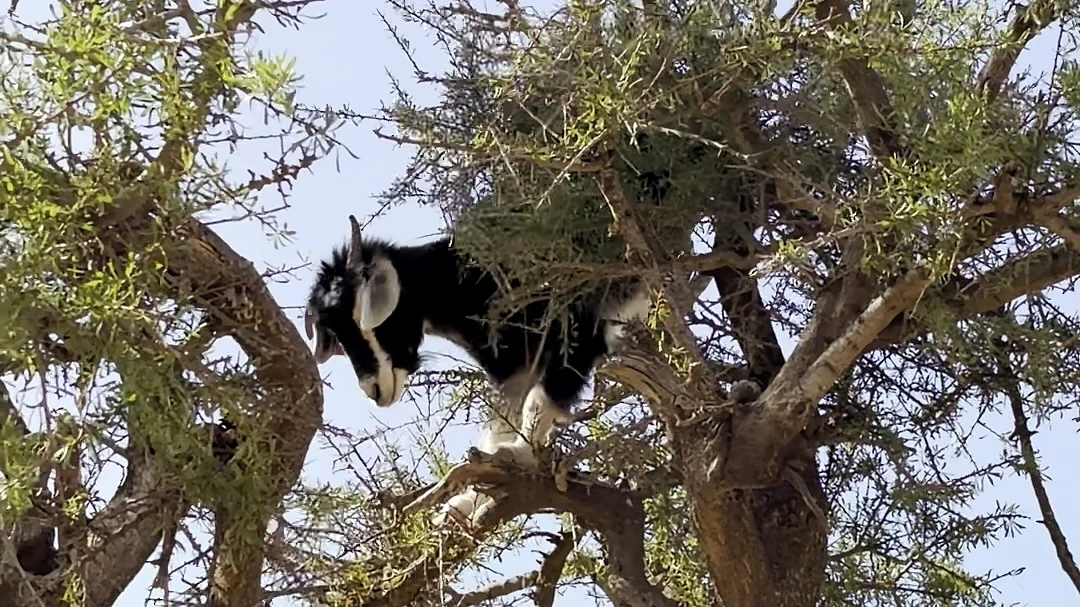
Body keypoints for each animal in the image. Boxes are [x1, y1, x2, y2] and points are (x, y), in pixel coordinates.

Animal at [305, 216, 651, 525]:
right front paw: (462, 504)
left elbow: (540, 400)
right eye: (337, 334)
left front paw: (517, 455)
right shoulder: (516, 364)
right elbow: (503, 421)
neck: (467, 282)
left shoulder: (577, 326)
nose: (374, 389)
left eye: (364, 319)